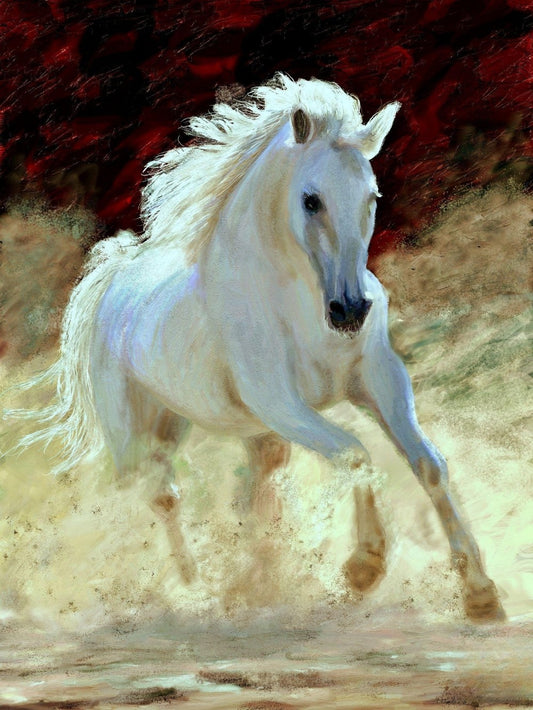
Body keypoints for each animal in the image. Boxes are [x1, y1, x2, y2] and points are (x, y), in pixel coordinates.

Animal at [9, 74, 504, 621]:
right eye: (311, 200)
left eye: (372, 196)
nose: (351, 311)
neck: (299, 303)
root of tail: (113, 274)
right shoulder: (280, 402)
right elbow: (356, 457)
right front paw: (364, 567)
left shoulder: (379, 379)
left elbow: (428, 465)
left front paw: (481, 593)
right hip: (135, 432)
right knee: (154, 496)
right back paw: (187, 590)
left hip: (225, 429)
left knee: (247, 495)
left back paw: (247, 580)